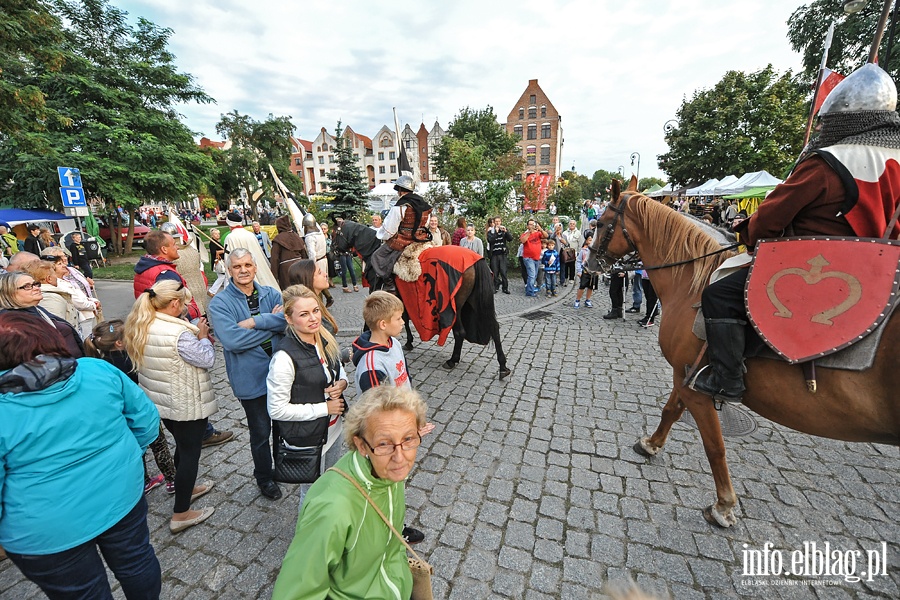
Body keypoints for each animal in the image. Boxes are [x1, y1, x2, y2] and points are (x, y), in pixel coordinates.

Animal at [332, 218, 512, 380]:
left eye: (334, 235)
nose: (333, 252)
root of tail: (476, 260)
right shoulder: (401, 297)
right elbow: (404, 318)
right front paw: (409, 342)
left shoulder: (377, 292)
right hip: (472, 301)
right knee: (494, 328)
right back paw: (503, 366)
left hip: (457, 305)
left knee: (460, 331)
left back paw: (452, 360)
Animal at [592, 177, 900, 524]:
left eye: (601, 223)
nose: (589, 262)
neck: (691, 282)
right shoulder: (686, 373)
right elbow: (671, 410)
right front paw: (651, 444)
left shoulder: (693, 383)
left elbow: (715, 445)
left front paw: (723, 505)